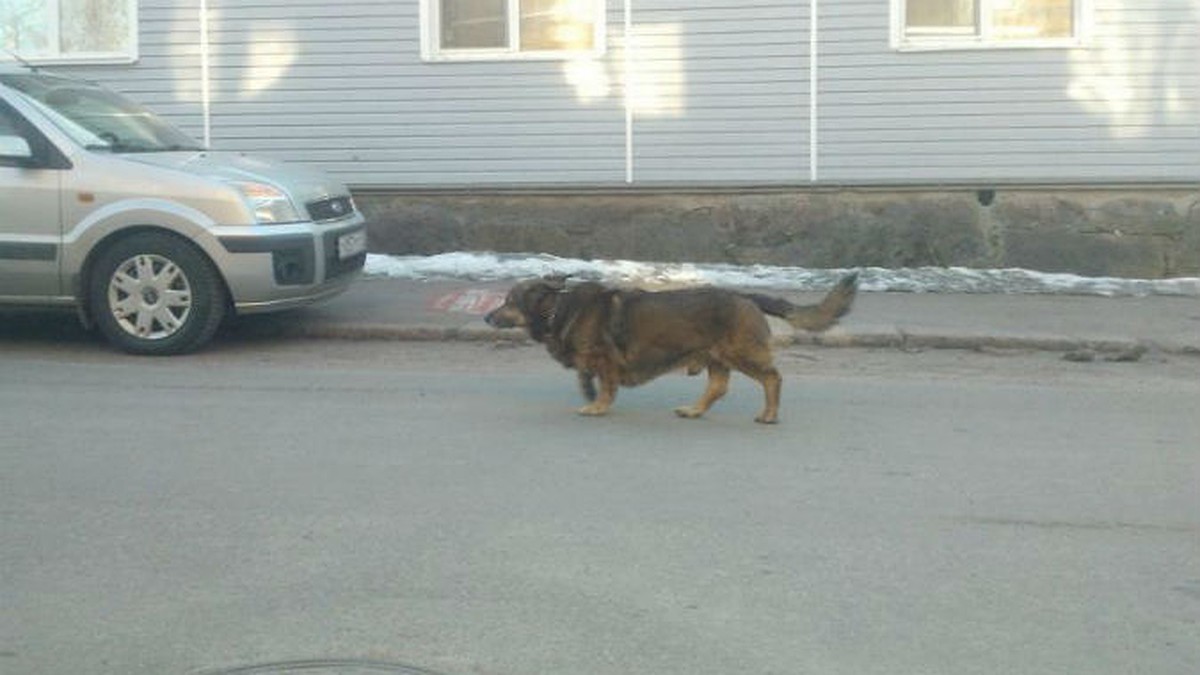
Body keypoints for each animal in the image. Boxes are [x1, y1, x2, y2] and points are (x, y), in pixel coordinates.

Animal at [482, 271, 859, 420]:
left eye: (508, 301)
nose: (486, 317)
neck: (557, 309)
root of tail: (746, 296)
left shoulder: (605, 362)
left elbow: (605, 387)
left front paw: (597, 406)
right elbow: (585, 378)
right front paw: (588, 394)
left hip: (740, 353)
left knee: (772, 378)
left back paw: (769, 414)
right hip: (716, 357)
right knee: (718, 388)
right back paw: (694, 410)